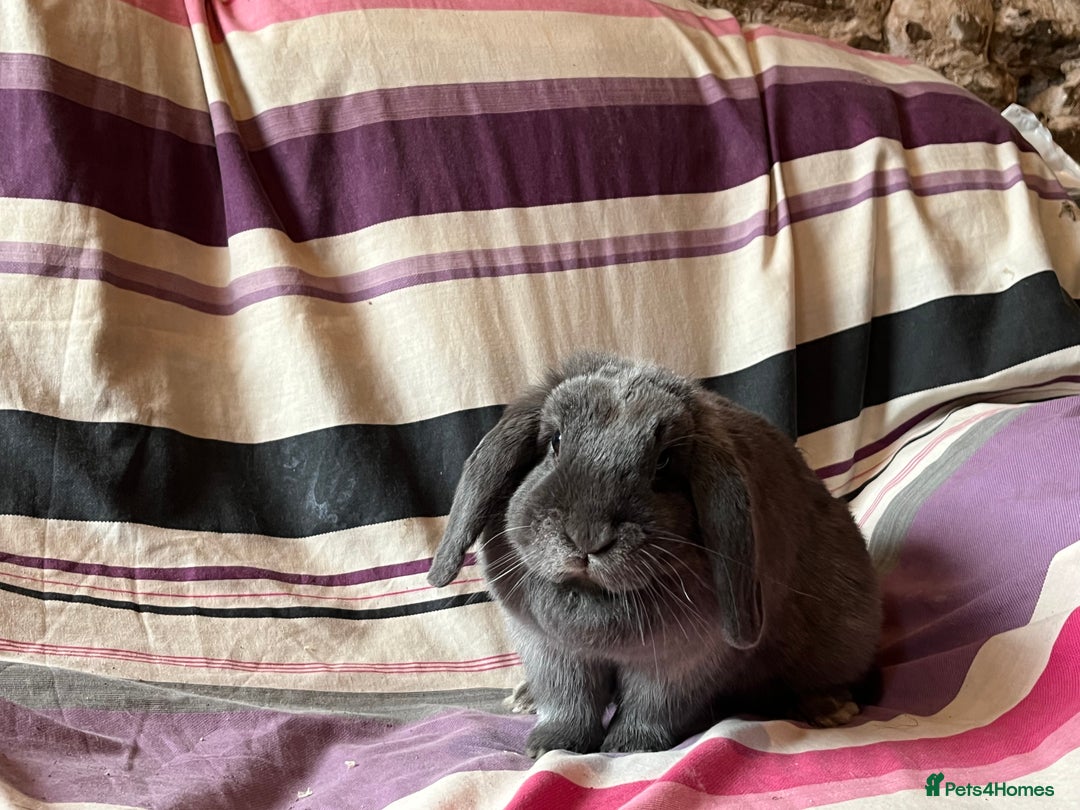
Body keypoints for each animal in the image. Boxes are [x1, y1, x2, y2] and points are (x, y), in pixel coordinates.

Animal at [427, 352, 881, 757]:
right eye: (555, 442)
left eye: (663, 463)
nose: (587, 536)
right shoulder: (553, 654)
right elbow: (567, 702)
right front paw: (550, 745)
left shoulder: (680, 663)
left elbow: (651, 707)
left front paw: (630, 746)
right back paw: (523, 698)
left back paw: (832, 708)